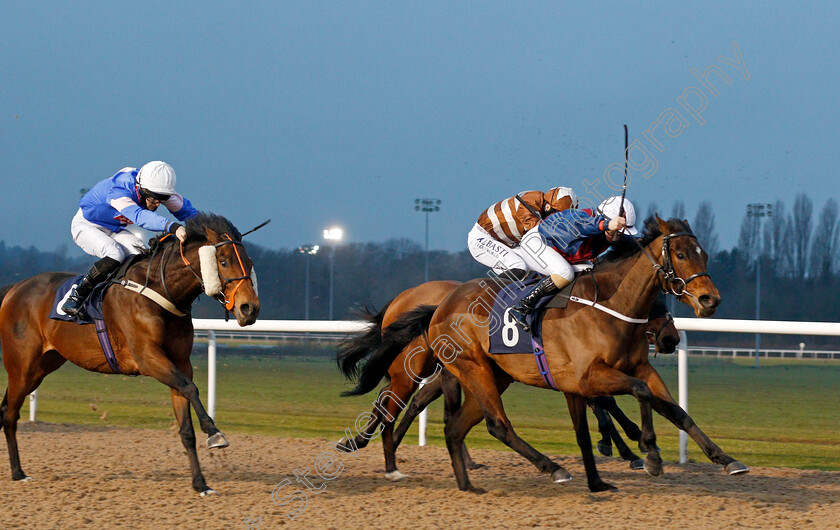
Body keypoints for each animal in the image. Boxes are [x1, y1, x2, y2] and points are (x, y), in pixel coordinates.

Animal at [0, 212, 260, 492]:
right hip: (22, 367)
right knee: (10, 414)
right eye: (223, 262)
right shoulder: (147, 358)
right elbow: (189, 387)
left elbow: (186, 428)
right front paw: (214, 433)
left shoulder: (179, 362)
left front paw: (201, 484)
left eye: (249, 262)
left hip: (42, 366)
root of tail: (14, 288)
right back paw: (18, 472)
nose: (249, 308)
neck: (159, 291)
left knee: (6, 409)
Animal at [352, 216, 744, 490]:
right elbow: (638, 394)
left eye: (705, 254)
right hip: (466, 368)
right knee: (486, 421)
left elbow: (675, 410)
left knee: (453, 421)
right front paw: (647, 450)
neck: (609, 306)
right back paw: (551, 468)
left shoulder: (638, 367)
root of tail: (439, 305)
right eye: (680, 254)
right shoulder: (588, 376)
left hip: (492, 374)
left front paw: (725, 458)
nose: (710, 300)